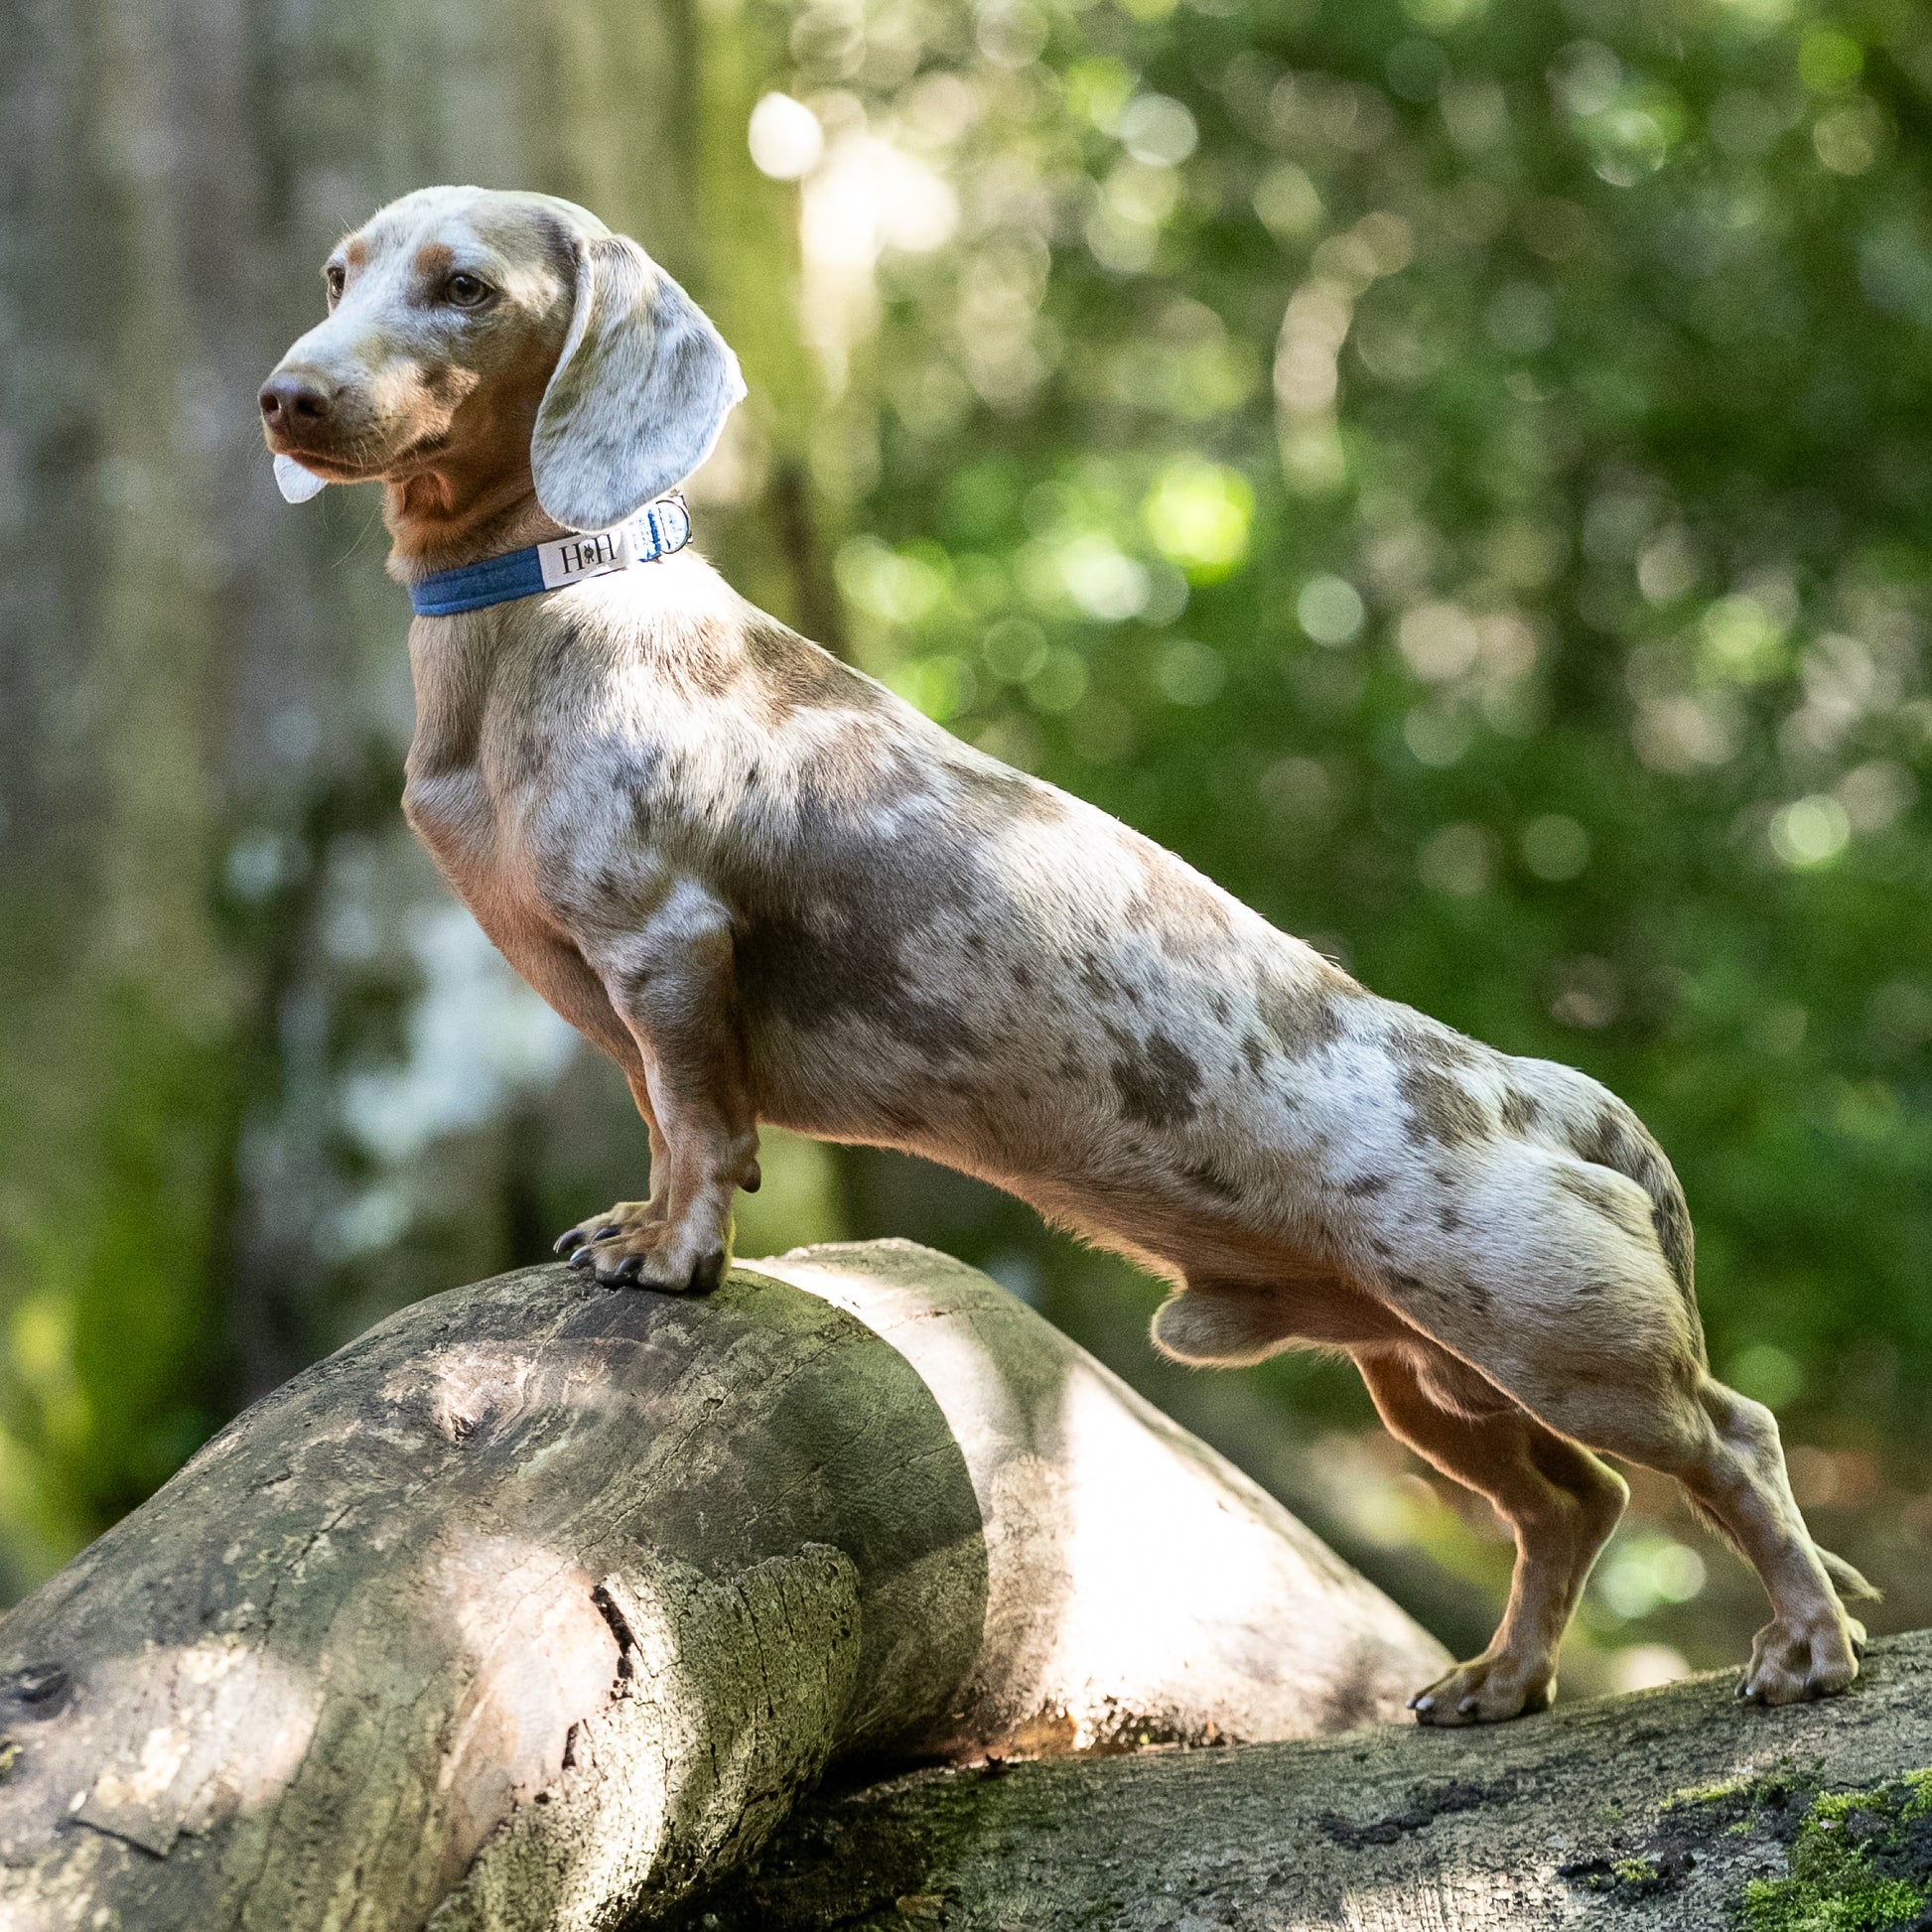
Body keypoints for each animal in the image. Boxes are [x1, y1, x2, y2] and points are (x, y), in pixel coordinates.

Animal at [256, 184, 1869, 1723]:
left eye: (466, 286)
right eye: (339, 276)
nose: (286, 396)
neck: (550, 609)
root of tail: (1554, 1096)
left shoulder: (662, 943)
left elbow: (701, 1128)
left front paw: (673, 1252)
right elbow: (664, 1120)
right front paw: (633, 1220)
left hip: (1562, 1346)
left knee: (1733, 1441)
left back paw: (1803, 1647)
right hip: (1428, 1378)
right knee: (1569, 1507)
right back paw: (1497, 1679)